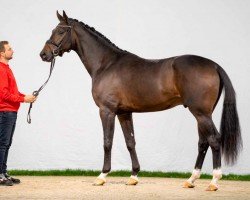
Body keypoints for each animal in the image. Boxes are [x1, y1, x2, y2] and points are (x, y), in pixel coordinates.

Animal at [40, 10, 241, 191]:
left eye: (60, 31)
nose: (43, 54)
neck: (106, 64)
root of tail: (214, 65)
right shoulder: (124, 113)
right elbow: (130, 142)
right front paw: (134, 176)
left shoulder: (107, 111)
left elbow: (107, 141)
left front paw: (102, 176)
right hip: (202, 114)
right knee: (203, 142)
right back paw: (191, 180)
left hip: (200, 113)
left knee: (214, 140)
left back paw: (214, 181)